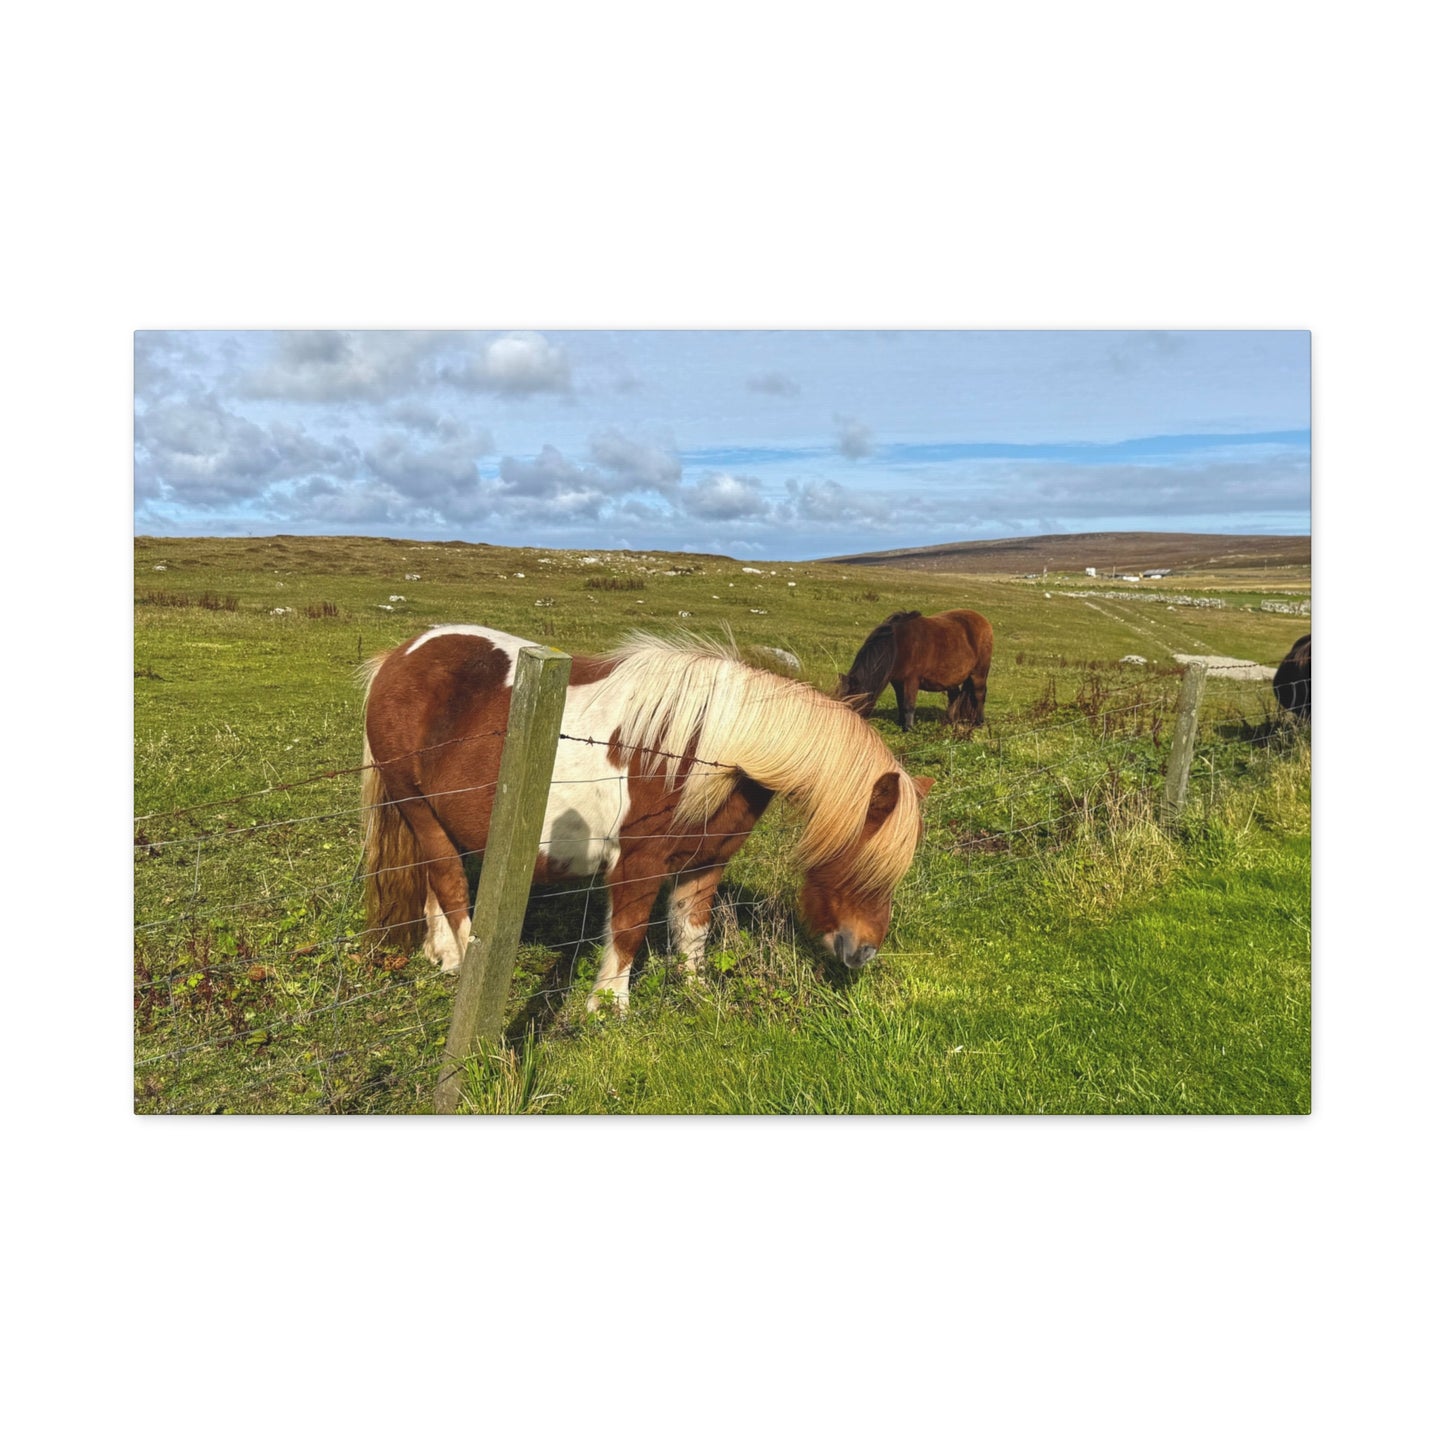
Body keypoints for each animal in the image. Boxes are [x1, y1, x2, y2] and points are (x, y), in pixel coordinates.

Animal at [360, 625, 933, 1013]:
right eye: (859, 860)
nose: (864, 953)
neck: (717, 750)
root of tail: (399, 656)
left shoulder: (705, 863)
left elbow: (693, 932)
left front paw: (695, 992)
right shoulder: (638, 864)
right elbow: (629, 934)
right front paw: (608, 1010)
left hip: (433, 819)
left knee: (433, 883)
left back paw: (441, 955)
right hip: (417, 808)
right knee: (451, 885)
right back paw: (461, 962)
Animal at [836, 609, 994, 733]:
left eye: (852, 705)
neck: (898, 645)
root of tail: (983, 621)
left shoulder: (911, 680)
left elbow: (909, 705)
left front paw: (909, 728)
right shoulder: (897, 682)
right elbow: (901, 703)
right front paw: (901, 724)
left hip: (979, 673)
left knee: (979, 695)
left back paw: (979, 723)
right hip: (952, 678)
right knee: (955, 696)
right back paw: (950, 721)